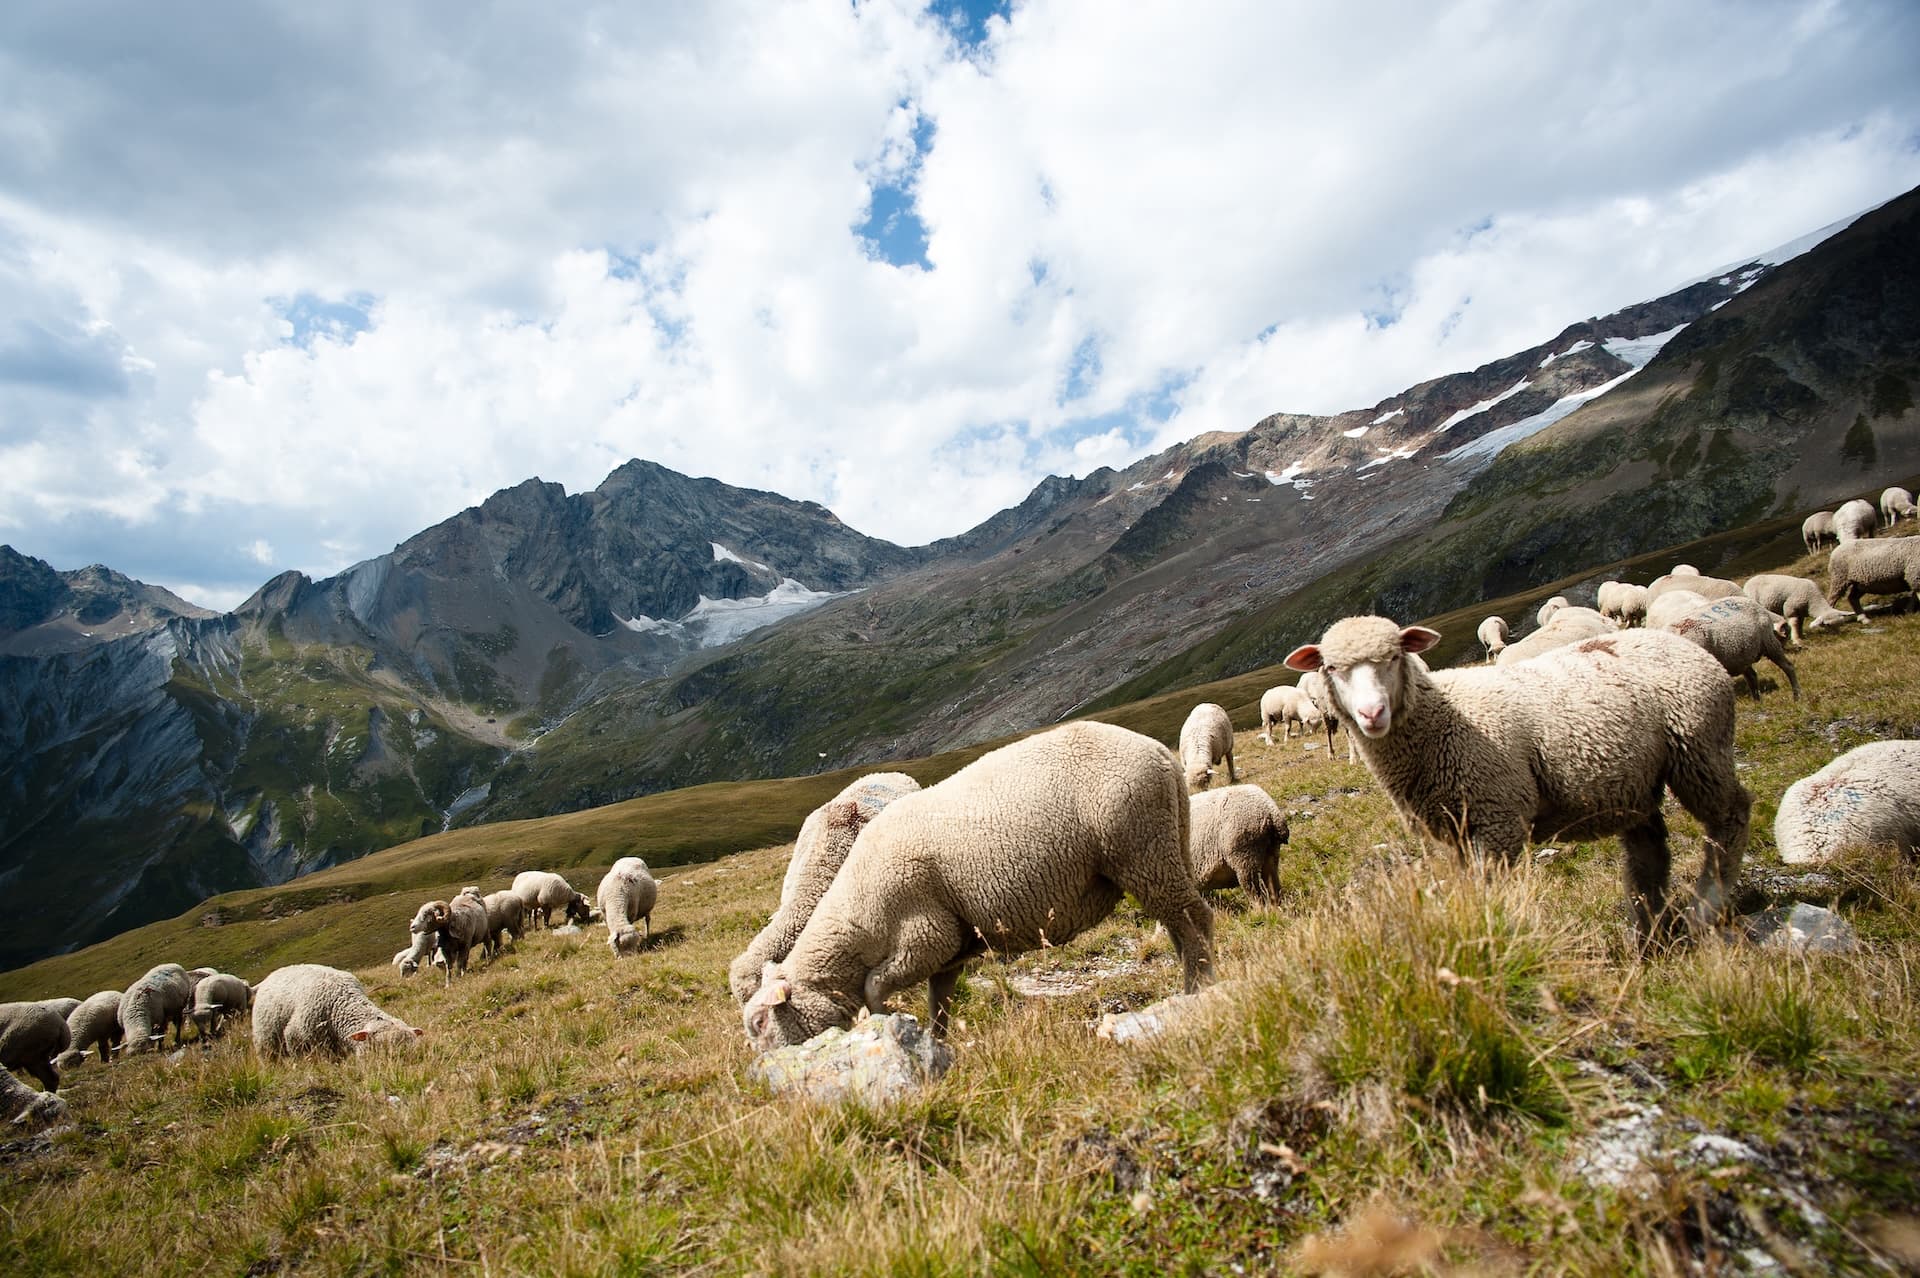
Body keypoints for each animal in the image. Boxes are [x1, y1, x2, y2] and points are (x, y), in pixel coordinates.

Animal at [1284, 618, 1750, 947]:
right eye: (1331, 667)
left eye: (1395, 657)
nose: (1372, 713)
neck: (1440, 719)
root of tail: (1686, 644)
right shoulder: (1459, 829)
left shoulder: (1498, 818)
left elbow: (1492, 892)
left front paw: (1497, 938)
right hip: (1636, 783)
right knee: (1649, 850)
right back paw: (1648, 927)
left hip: (1699, 745)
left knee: (1732, 815)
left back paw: (1706, 907)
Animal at [1657, 594, 1799, 700]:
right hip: (1740, 655)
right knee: (1752, 676)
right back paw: (1757, 702)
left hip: (1769, 643)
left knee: (1788, 667)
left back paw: (1797, 695)